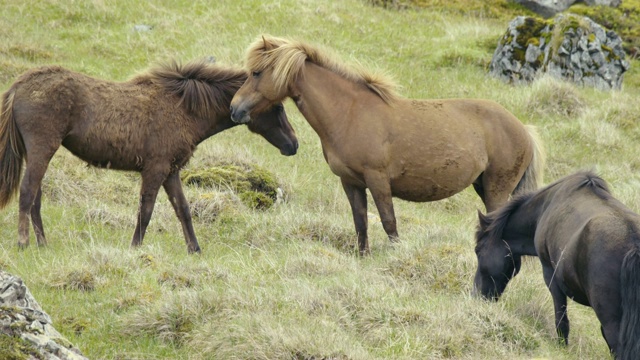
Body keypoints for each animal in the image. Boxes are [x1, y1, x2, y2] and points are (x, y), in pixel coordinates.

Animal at [0, 61, 300, 253]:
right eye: (278, 107)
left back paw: (42, 244)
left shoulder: (171, 171)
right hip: (42, 149)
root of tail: (19, 85)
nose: (293, 145)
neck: (183, 108)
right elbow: (146, 210)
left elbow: (183, 210)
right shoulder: (155, 169)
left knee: (36, 198)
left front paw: (195, 249)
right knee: (27, 193)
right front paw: (135, 248)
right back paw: (23, 242)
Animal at [228, 35, 544, 256]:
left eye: (256, 72)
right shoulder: (351, 182)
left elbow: (389, 222)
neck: (349, 113)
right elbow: (361, 223)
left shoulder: (378, 180)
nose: (234, 109)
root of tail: (524, 130)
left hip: (496, 190)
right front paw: (363, 257)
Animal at [472, 170, 640, 358]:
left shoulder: (551, 277)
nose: (475, 296)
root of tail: (634, 243)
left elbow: (561, 321)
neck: (544, 208)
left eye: (478, 250)